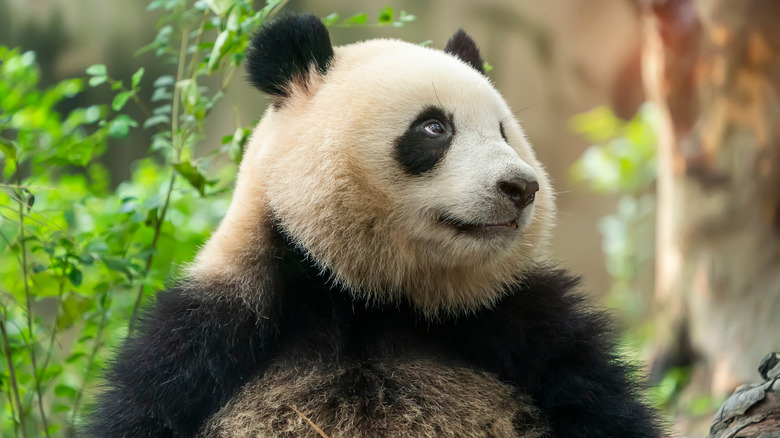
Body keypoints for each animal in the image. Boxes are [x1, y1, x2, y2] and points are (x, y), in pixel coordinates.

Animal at [87, 13, 664, 438]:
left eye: (504, 131)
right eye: (434, 127)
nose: (521, 187)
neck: (370, 296)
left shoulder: (523, 324)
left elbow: (600, 402)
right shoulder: (216, 329)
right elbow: (146, 406)